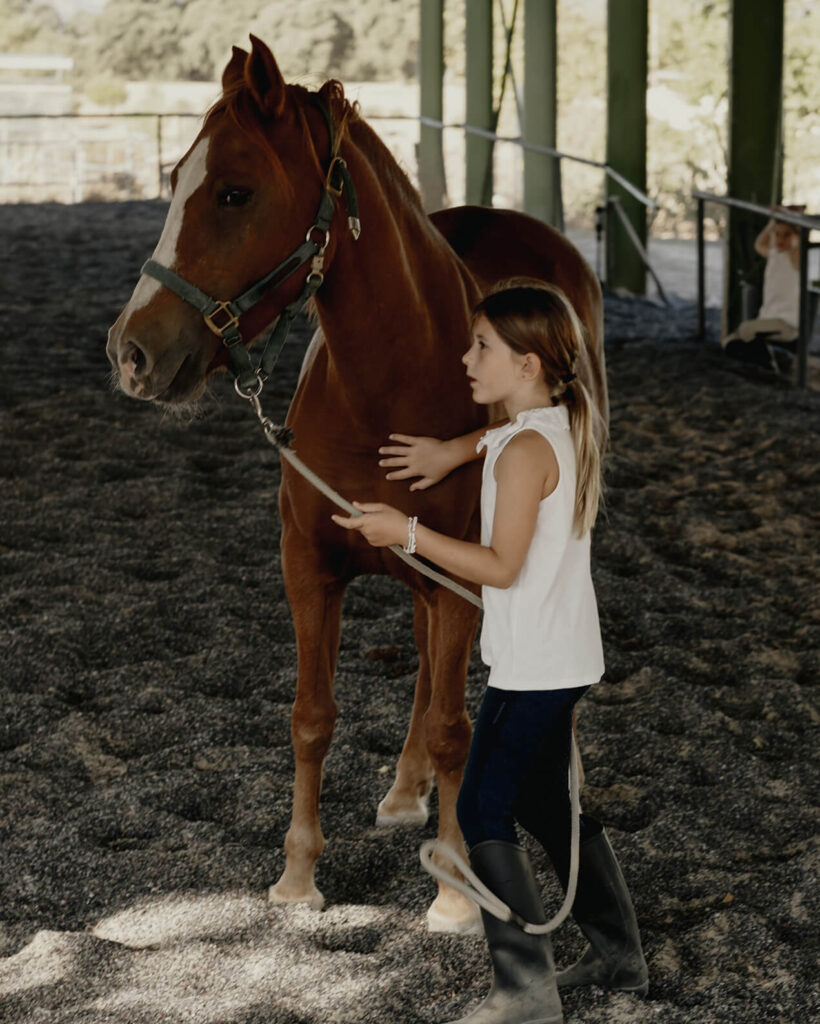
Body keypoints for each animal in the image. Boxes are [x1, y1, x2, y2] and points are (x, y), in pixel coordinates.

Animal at [106, 35, 607, 933]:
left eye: (234, 192)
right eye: (173, 181)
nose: (130, 352)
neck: (390, 385)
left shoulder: (457, 573)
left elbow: (453, 726)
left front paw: (455, 891)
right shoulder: (309, 564)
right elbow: (313, 716)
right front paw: (298, 875)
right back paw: (406, 791)